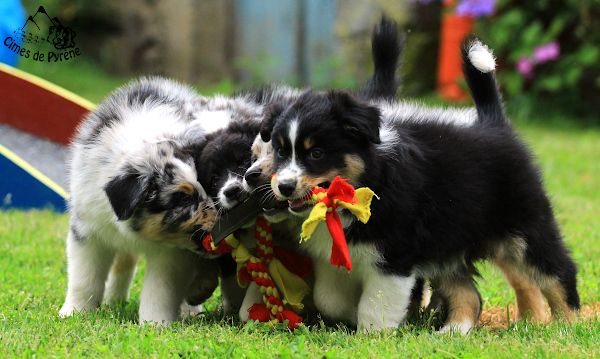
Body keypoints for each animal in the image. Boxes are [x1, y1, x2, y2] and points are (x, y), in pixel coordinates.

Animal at [60, 77, 220, 324]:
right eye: (183, 199)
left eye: (208, 186)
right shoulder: (88, 230)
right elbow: (84, 278)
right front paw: (75, 313)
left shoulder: (171, 253)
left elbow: (160, 289)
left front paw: (155, 324)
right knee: (123, 263)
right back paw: (114, 301)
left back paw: (189, 310)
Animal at [262, 38, 576, 334]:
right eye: (280, 151)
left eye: (316, 153)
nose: (285, 187)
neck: (367, 181)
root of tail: (493, 122)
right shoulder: (333, 259)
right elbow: (329, 299)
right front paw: (349, 318)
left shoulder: (394, 256)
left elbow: (375, 306)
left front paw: (372, 337)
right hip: (445, 243)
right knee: (477, 292)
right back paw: (470, 330)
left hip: (525, 227)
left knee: (558, 272)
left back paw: (566, 327)